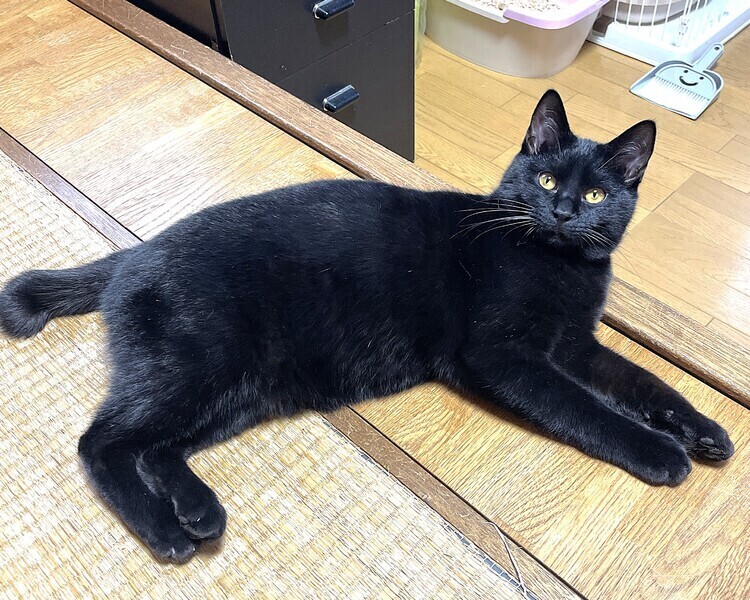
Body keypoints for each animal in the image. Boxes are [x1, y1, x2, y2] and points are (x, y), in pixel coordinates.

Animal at [1, 90, 734, 562]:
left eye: (596, 195)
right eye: (547, 178)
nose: (560, 212)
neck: (557, 265)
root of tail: (136, 251)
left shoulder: (577, 345)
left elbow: (644, 383)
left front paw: (704, 432)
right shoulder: (506, 357)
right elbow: (588, 409)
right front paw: (661, 452)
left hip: (240, 388)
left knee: (154, 446)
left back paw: (199, 510)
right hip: (203, 363)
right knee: (102, 442)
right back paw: (167, 531)